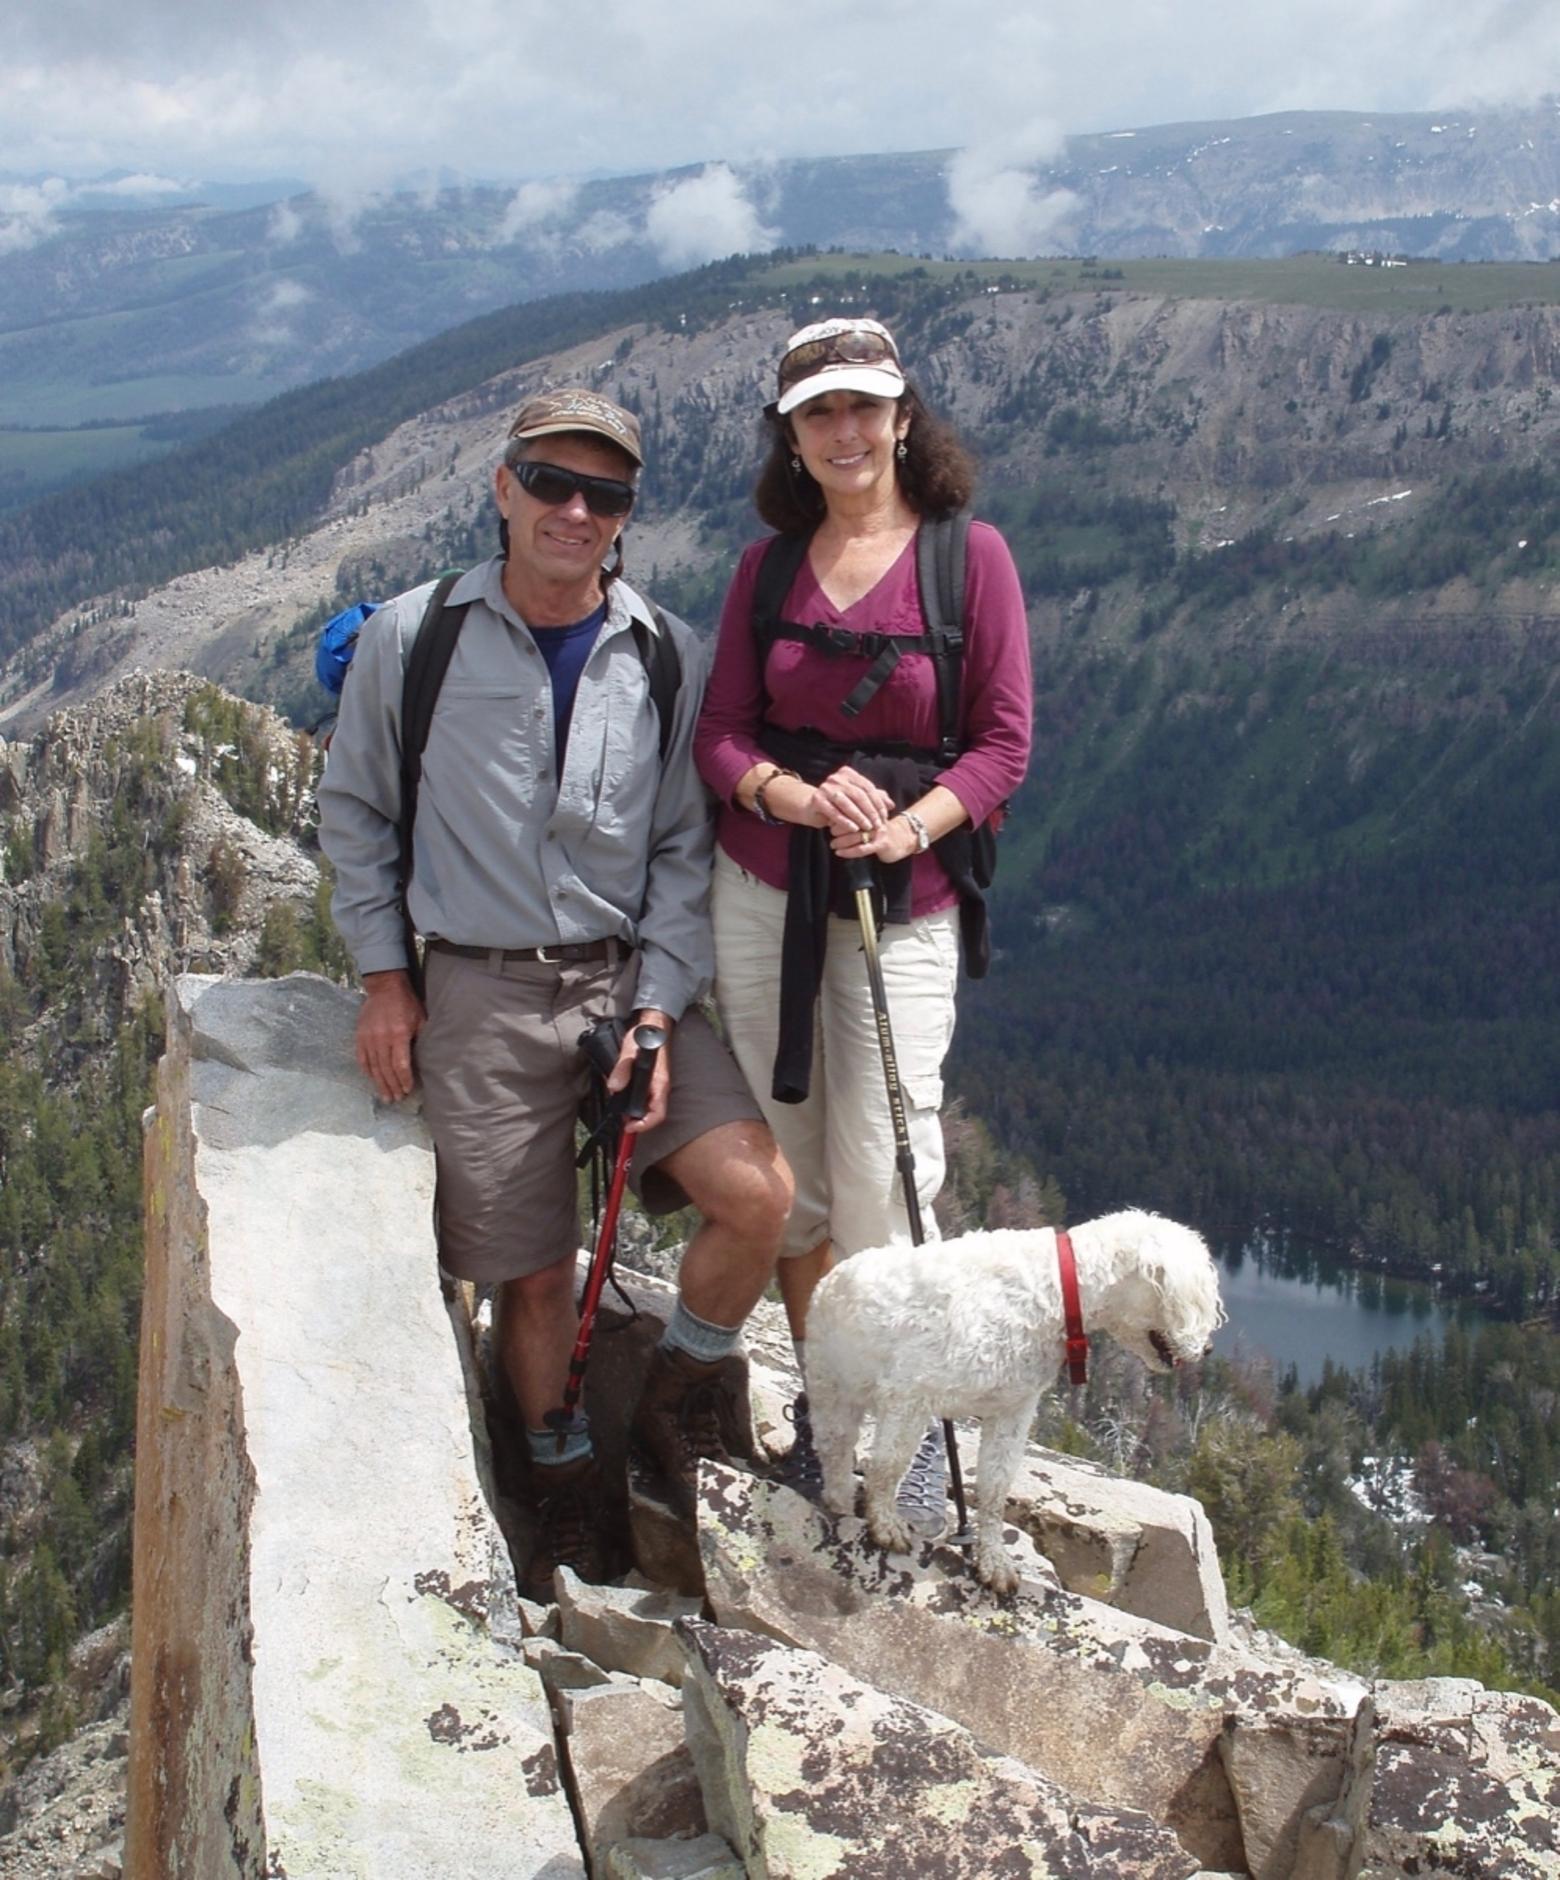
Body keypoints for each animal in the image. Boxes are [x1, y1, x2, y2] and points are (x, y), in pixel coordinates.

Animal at [804, 1210, 1232, 1594]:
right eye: (1196, 1297)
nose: (1209, 1349)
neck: (1058, 1293)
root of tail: (829, 1279)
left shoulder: (1012, 1410)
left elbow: (995, 1489)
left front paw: (994, 1563)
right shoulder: (910, 1395)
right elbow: (888, 1466)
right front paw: (885, 1524)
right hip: (832, 1386)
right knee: (835, 1450)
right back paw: (838, 1500)